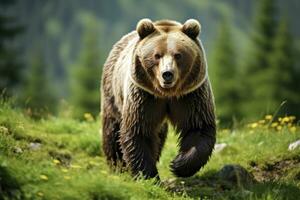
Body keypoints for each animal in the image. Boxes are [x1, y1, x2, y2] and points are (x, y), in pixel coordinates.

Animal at [101, 18, 216, 178]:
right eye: (157, 55)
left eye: (178, 55)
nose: (167, 74)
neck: (166, 93)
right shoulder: (144, 95)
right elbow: (139, 130)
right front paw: (148, 175)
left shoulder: (191, 95)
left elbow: (198, 127)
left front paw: (178, 164)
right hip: (112, 92)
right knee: (112, 130)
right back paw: (118, 166)